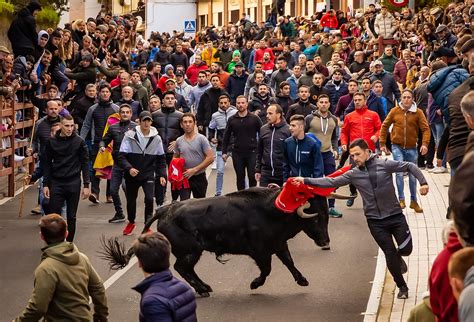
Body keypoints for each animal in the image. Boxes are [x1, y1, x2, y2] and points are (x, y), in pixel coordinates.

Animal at [102, 186, 334, 296]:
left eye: (326, 215)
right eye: (315, 217)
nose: (325, 241)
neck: (272, 211)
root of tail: (165, 209)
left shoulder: (278, 244)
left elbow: (289, 262)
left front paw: (302, 280)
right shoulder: (260, 252)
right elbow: (267, 269)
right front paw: (254, 283)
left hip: (193, 252)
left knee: (186, 269)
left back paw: (205, 287)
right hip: (190, 251)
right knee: (181, 268)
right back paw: (203, 289)